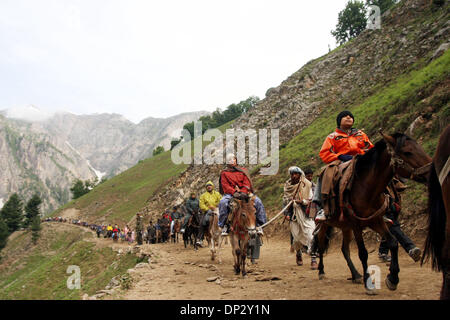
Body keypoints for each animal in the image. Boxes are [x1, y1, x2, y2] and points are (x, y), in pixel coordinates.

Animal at [312, 132, 432, 296]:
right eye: (407, 152)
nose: (431, 172)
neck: (367, 187)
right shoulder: (356, 224)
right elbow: (363, 253)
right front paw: (369, 285)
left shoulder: (376, 220)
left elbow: (393, 242)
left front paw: (392, 279)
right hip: (325, 224)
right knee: (321, 245)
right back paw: (321, 272)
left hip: (345, 227)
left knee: (344, 249)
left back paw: (355, 275)